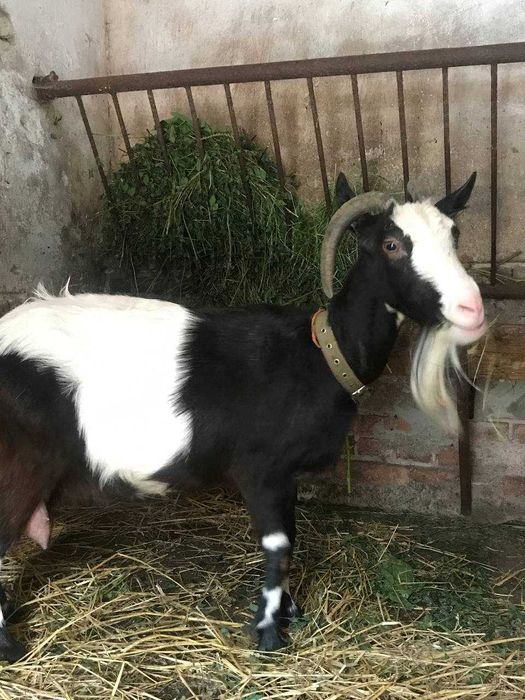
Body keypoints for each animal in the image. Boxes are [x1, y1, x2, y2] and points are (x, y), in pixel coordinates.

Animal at [0, 173, 485, 660]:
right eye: (391, 244)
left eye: (455, 234)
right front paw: (269, 632)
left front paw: (290, 611)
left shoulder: (286, 475)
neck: (321, 354)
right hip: (19, 470)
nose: (473, 309)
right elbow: (278, 544)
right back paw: (11, 647)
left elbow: (291, 535)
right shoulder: (260, 468)